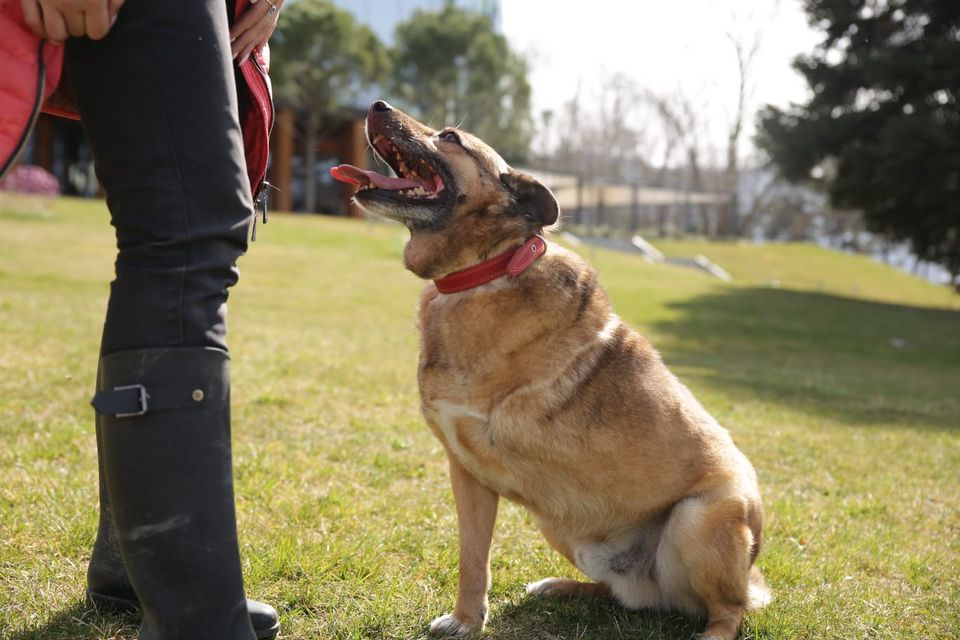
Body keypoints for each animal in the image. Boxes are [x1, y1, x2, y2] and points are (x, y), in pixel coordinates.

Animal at [334, 100, 768, 640]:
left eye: (450, 137)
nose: (376, 106)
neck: (485, 269)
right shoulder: (467, 475)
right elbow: (472, 561)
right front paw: (466, 620)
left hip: (698, 517)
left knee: (727, 612)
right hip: (564, 525)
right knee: (634, 598)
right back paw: (562, 586)